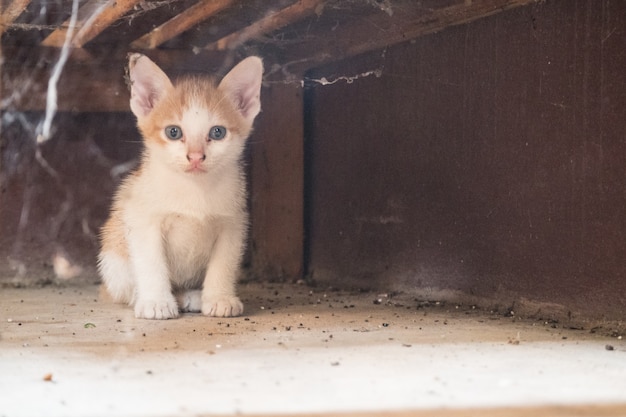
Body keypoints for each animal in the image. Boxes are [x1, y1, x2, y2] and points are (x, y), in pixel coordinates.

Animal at [98, 52, 264, 318]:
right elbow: (151, 262)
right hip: (112, 253)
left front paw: (219, 298)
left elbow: (223, 263)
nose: (195, 156)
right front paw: (155, 301)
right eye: (173, 132)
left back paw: (193, 295)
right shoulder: (141, 218)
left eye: (217, 132)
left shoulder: (233, 222)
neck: (194, 189)